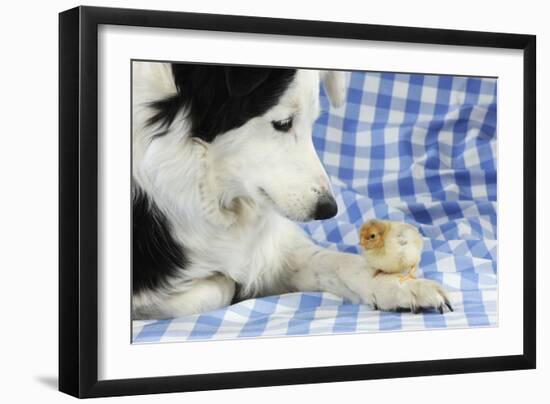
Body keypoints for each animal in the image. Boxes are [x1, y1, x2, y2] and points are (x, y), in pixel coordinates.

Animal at [134, 61, 452, 318]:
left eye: (313, 123)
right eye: (283, 123)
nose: (328, 209)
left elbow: (337, 261)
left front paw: (397, 285)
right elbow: (215, 288)